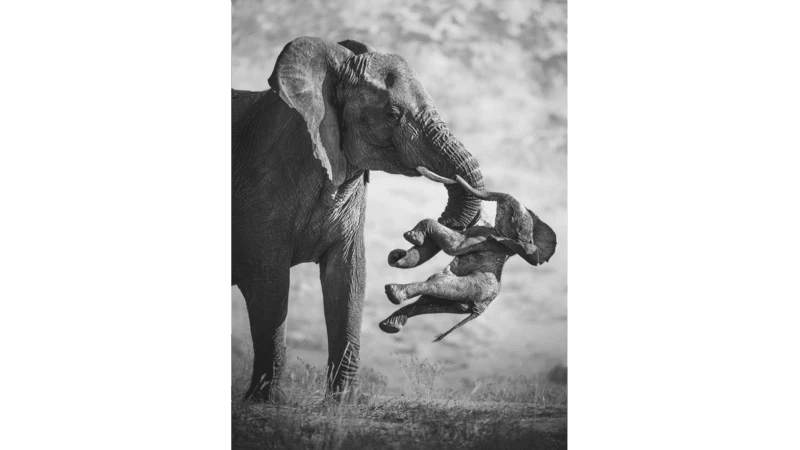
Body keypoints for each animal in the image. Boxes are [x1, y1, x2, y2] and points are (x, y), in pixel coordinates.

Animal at [231, 37, 486, 402]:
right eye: (392, 114)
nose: (400, 249)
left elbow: (349, 278)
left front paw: (342, 405)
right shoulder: (262, 189)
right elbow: (270, 285)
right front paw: (265, 403)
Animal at [381, 172, 557, 342]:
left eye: (512, 217)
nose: (455, 177)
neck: (522, 241)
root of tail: (479, 310)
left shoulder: (482, 237)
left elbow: (453, 246)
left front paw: (411, 237)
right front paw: (397, 256)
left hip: (472, 287)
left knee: (438, 283)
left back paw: (393, 293)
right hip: (459, 302)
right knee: (428, 303)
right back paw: (390, 325)